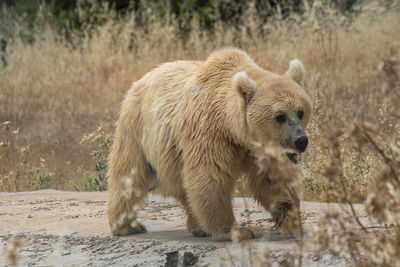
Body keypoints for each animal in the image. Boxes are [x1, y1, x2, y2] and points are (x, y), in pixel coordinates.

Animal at [106, 48, 312, 243]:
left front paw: (288, 215)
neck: (233, 128)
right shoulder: (211, 132)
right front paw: (235, 231)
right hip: (137, 129)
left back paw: (198, 227)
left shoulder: (256, 147)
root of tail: (142, 78)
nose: (301, 140)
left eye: (301, 112)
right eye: (280, 116)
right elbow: (210, 176)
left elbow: (272, 178)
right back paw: (127, 225)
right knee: (130, 174)